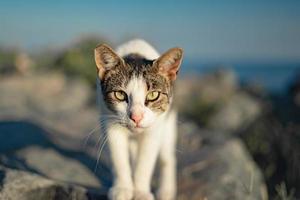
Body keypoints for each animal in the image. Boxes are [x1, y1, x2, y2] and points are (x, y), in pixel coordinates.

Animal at [94, 39, 183, 200]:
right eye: (120, 94)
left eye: (153, 95)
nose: (136, 117)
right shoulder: (108, 119)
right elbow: (118, 157)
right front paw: (122, 188)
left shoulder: (155, 129)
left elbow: (145, 162)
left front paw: (141, 192)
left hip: (169, 123)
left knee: (167, 157)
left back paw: (166, 190)